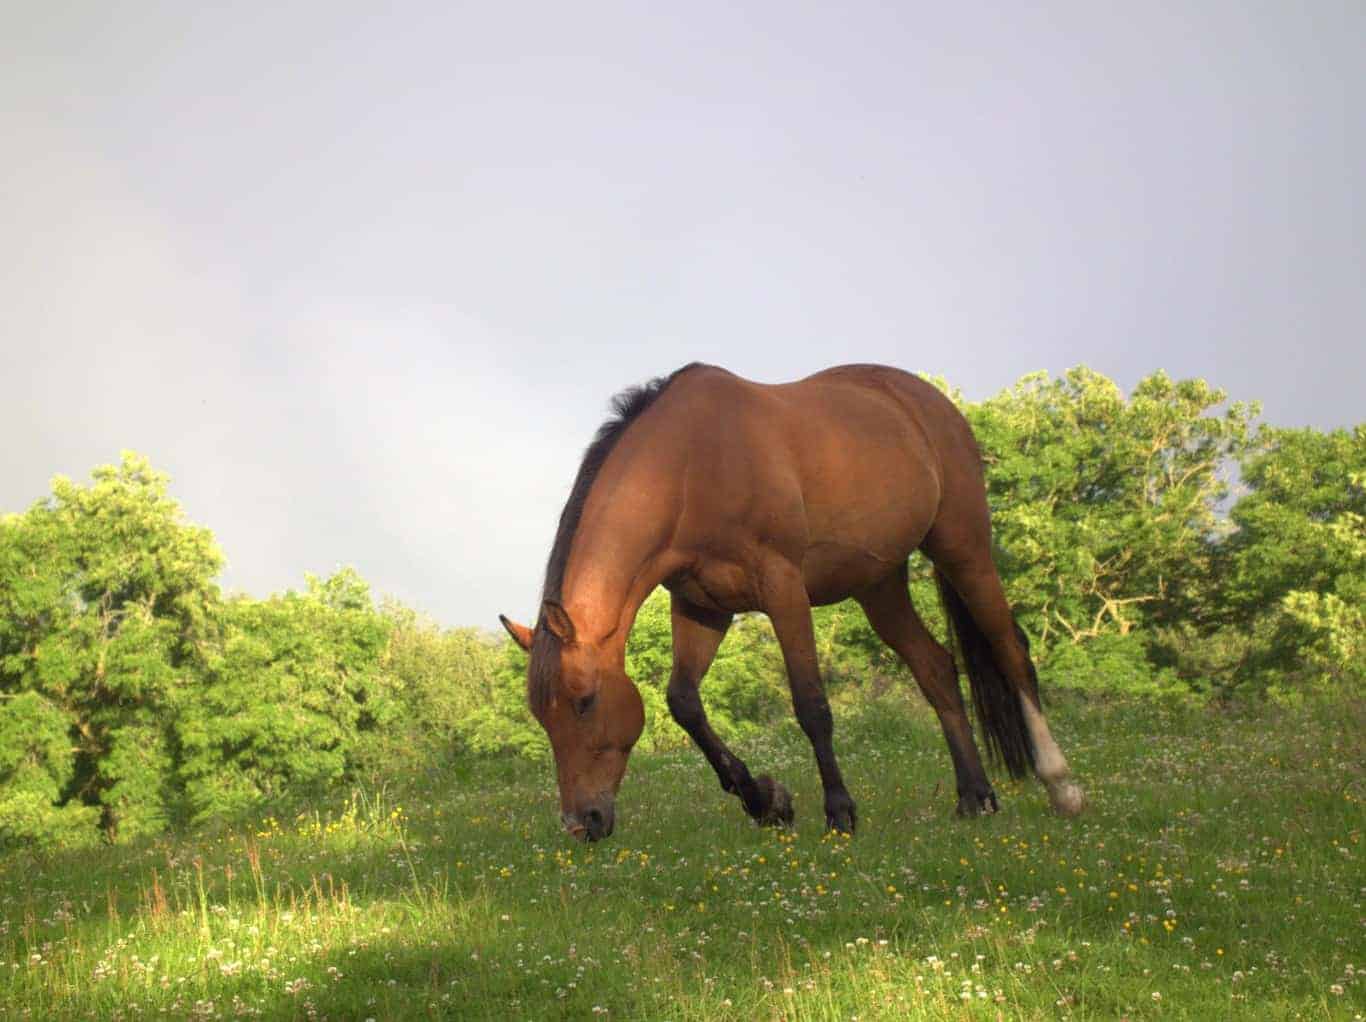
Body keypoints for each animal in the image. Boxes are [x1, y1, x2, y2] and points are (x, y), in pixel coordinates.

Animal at [500, 363, 1085, 842]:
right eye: (541, 716)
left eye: (584, 701)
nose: (582, 823)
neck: (690, 467)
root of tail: (930, 401)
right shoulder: (702, 607)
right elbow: (684, 702)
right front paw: (767, 802)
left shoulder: (783, 588)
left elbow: (811, 705)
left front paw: (839, 812)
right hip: (880, 586)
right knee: (936, 669)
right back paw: (975, 797)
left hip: (964, 550)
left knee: (1011, 651)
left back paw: (1061, 786)